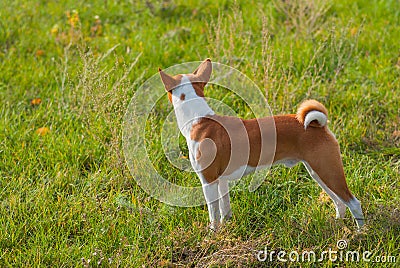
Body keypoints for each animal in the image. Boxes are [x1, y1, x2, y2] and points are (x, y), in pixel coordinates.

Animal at [158, 58, 364, 230]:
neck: (199, 119)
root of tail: (318, 125)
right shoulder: (221, 181)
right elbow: (225, 210)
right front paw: (226, 229)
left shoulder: (208, 180)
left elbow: (213, 214)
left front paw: (212, 234)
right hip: (319, 172)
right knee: (339, 202)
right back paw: (338, 223)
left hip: (328, 171)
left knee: (354, 203)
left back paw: (360, 233)